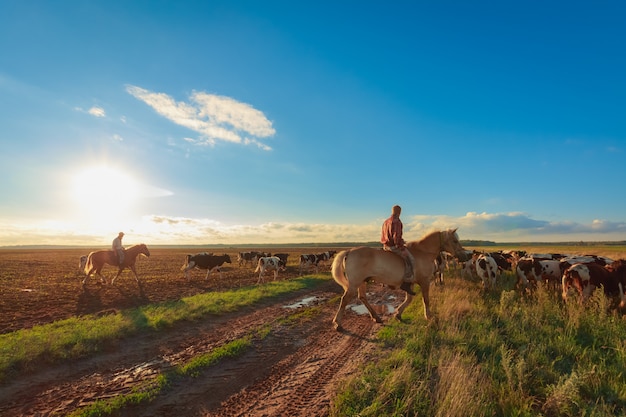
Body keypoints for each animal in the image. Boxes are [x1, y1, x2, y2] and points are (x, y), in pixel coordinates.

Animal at [330, 229, 466, 330]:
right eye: (455, 241)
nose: (464, 256)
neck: (422, 253)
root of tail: (349, 251)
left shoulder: (410, 283)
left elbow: (409, 299)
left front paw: (398, 314)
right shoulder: (424, 282)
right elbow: (426, 300)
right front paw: (429, 316)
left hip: (362, 282)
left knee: (362, 297)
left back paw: (376, 317)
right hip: (354, 283)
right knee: (345, 299)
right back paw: (338, 323)